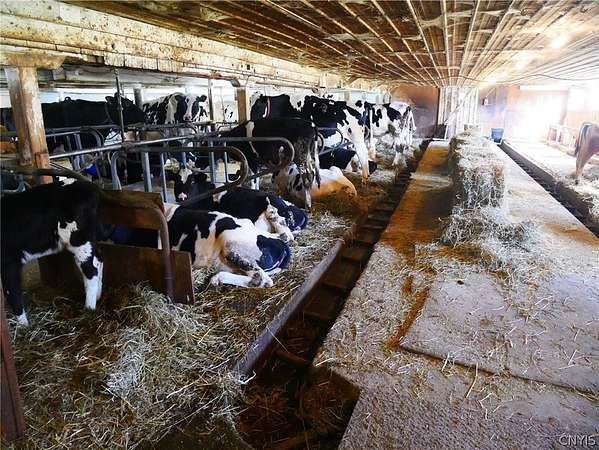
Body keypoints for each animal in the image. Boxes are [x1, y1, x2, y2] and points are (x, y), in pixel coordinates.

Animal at [1, 180, 104, 325]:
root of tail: (89, 185)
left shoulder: (9, 262)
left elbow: (12, 293)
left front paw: (23, 326)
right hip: (88, 241)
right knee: (99, 259)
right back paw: (98, 296)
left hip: (79, 241)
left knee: (91, 271)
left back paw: (89, 309)